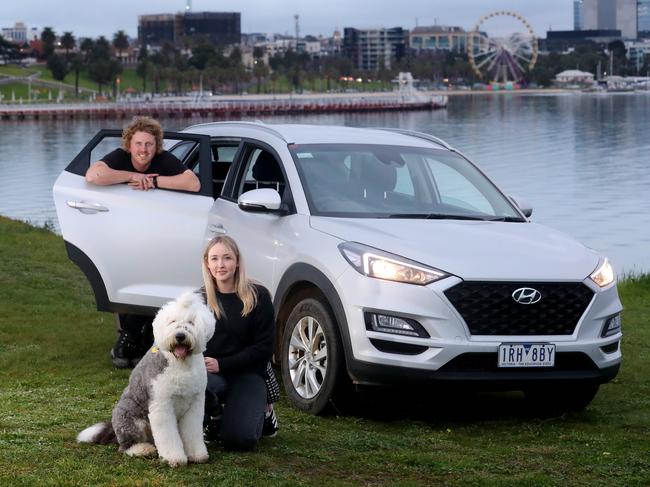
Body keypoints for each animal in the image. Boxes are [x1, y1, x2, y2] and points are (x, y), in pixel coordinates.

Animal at [75, 292, 213, 468]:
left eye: (191, 322)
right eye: (172, 321)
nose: (180, 336)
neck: (180, 363)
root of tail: (113, 427)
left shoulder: (195, 404)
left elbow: (192, 431)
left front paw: (197, 455)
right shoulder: (162, 405)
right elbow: (167, 435)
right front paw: (174, 458)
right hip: (130, 418)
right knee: (125, 446)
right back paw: (143, 449)